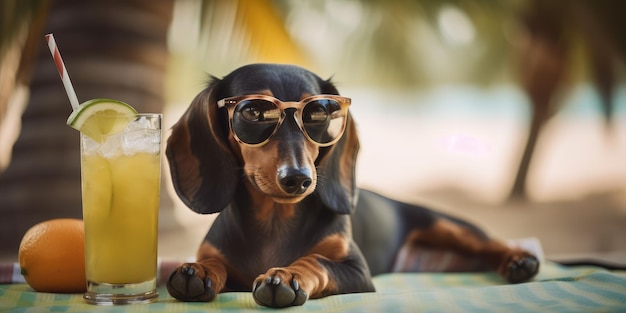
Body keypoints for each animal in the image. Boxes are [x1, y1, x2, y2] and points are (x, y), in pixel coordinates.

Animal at [165, 63, 536, 308]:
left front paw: (286, 275)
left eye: (318, 113)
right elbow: (214, 263)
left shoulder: (357, 271)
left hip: (444, 224)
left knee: (490, 244)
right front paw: (198, 270)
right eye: (253, 112)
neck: (276, 221)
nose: (298, 179)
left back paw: (520, 261)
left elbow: (316, 261)